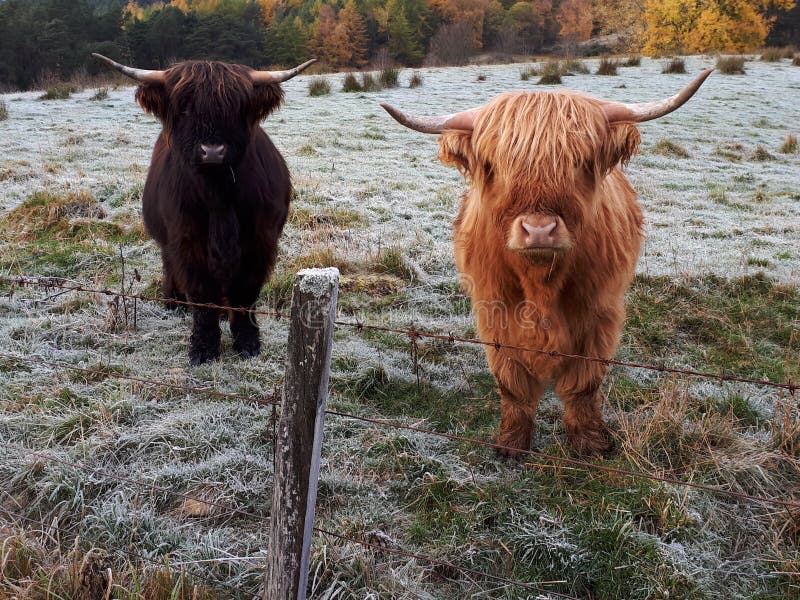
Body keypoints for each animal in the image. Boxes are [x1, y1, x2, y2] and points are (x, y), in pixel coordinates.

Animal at [95, 54, 314, 364]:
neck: (218, 193)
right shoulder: (187, 240)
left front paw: (247, 341)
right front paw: (203, 347)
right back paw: (173, 301)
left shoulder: (260, 241)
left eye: (236, 108)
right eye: (185, 107)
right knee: (170, 265)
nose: (212, 151)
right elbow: (201, 295)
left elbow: (245, 292)